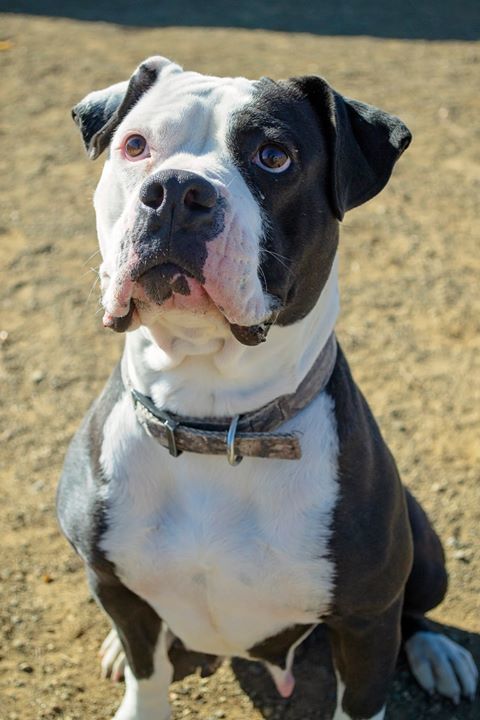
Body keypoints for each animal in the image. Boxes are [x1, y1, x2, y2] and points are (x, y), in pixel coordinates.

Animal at [58, 57, 478, 720]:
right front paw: (133, 670)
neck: (213, 425)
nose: (176, 192)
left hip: (423, 550)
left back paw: (438, 652)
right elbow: (147, 673)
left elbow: (366, 693)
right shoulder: (112, 584)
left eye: (273, 156)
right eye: (136, 146)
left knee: (417, 610)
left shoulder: (366, 620)